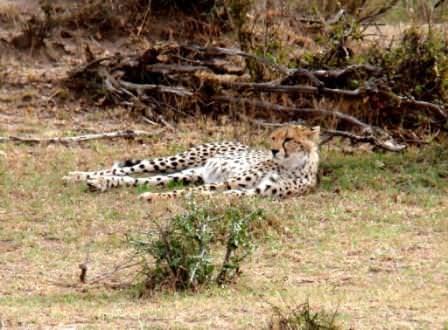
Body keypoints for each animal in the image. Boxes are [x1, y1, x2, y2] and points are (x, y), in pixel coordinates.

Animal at [63, 124, 320, 201]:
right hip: (178, 160)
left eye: (289, 139)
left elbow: (229, 194)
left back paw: (99, 182)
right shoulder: (232, 181)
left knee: (135, 179)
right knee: (129, 169)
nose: (273, 150)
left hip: (188, 173)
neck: (291, 166)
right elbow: (196, 192)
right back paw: (78, 175)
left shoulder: (258, 191)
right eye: (274, 138)